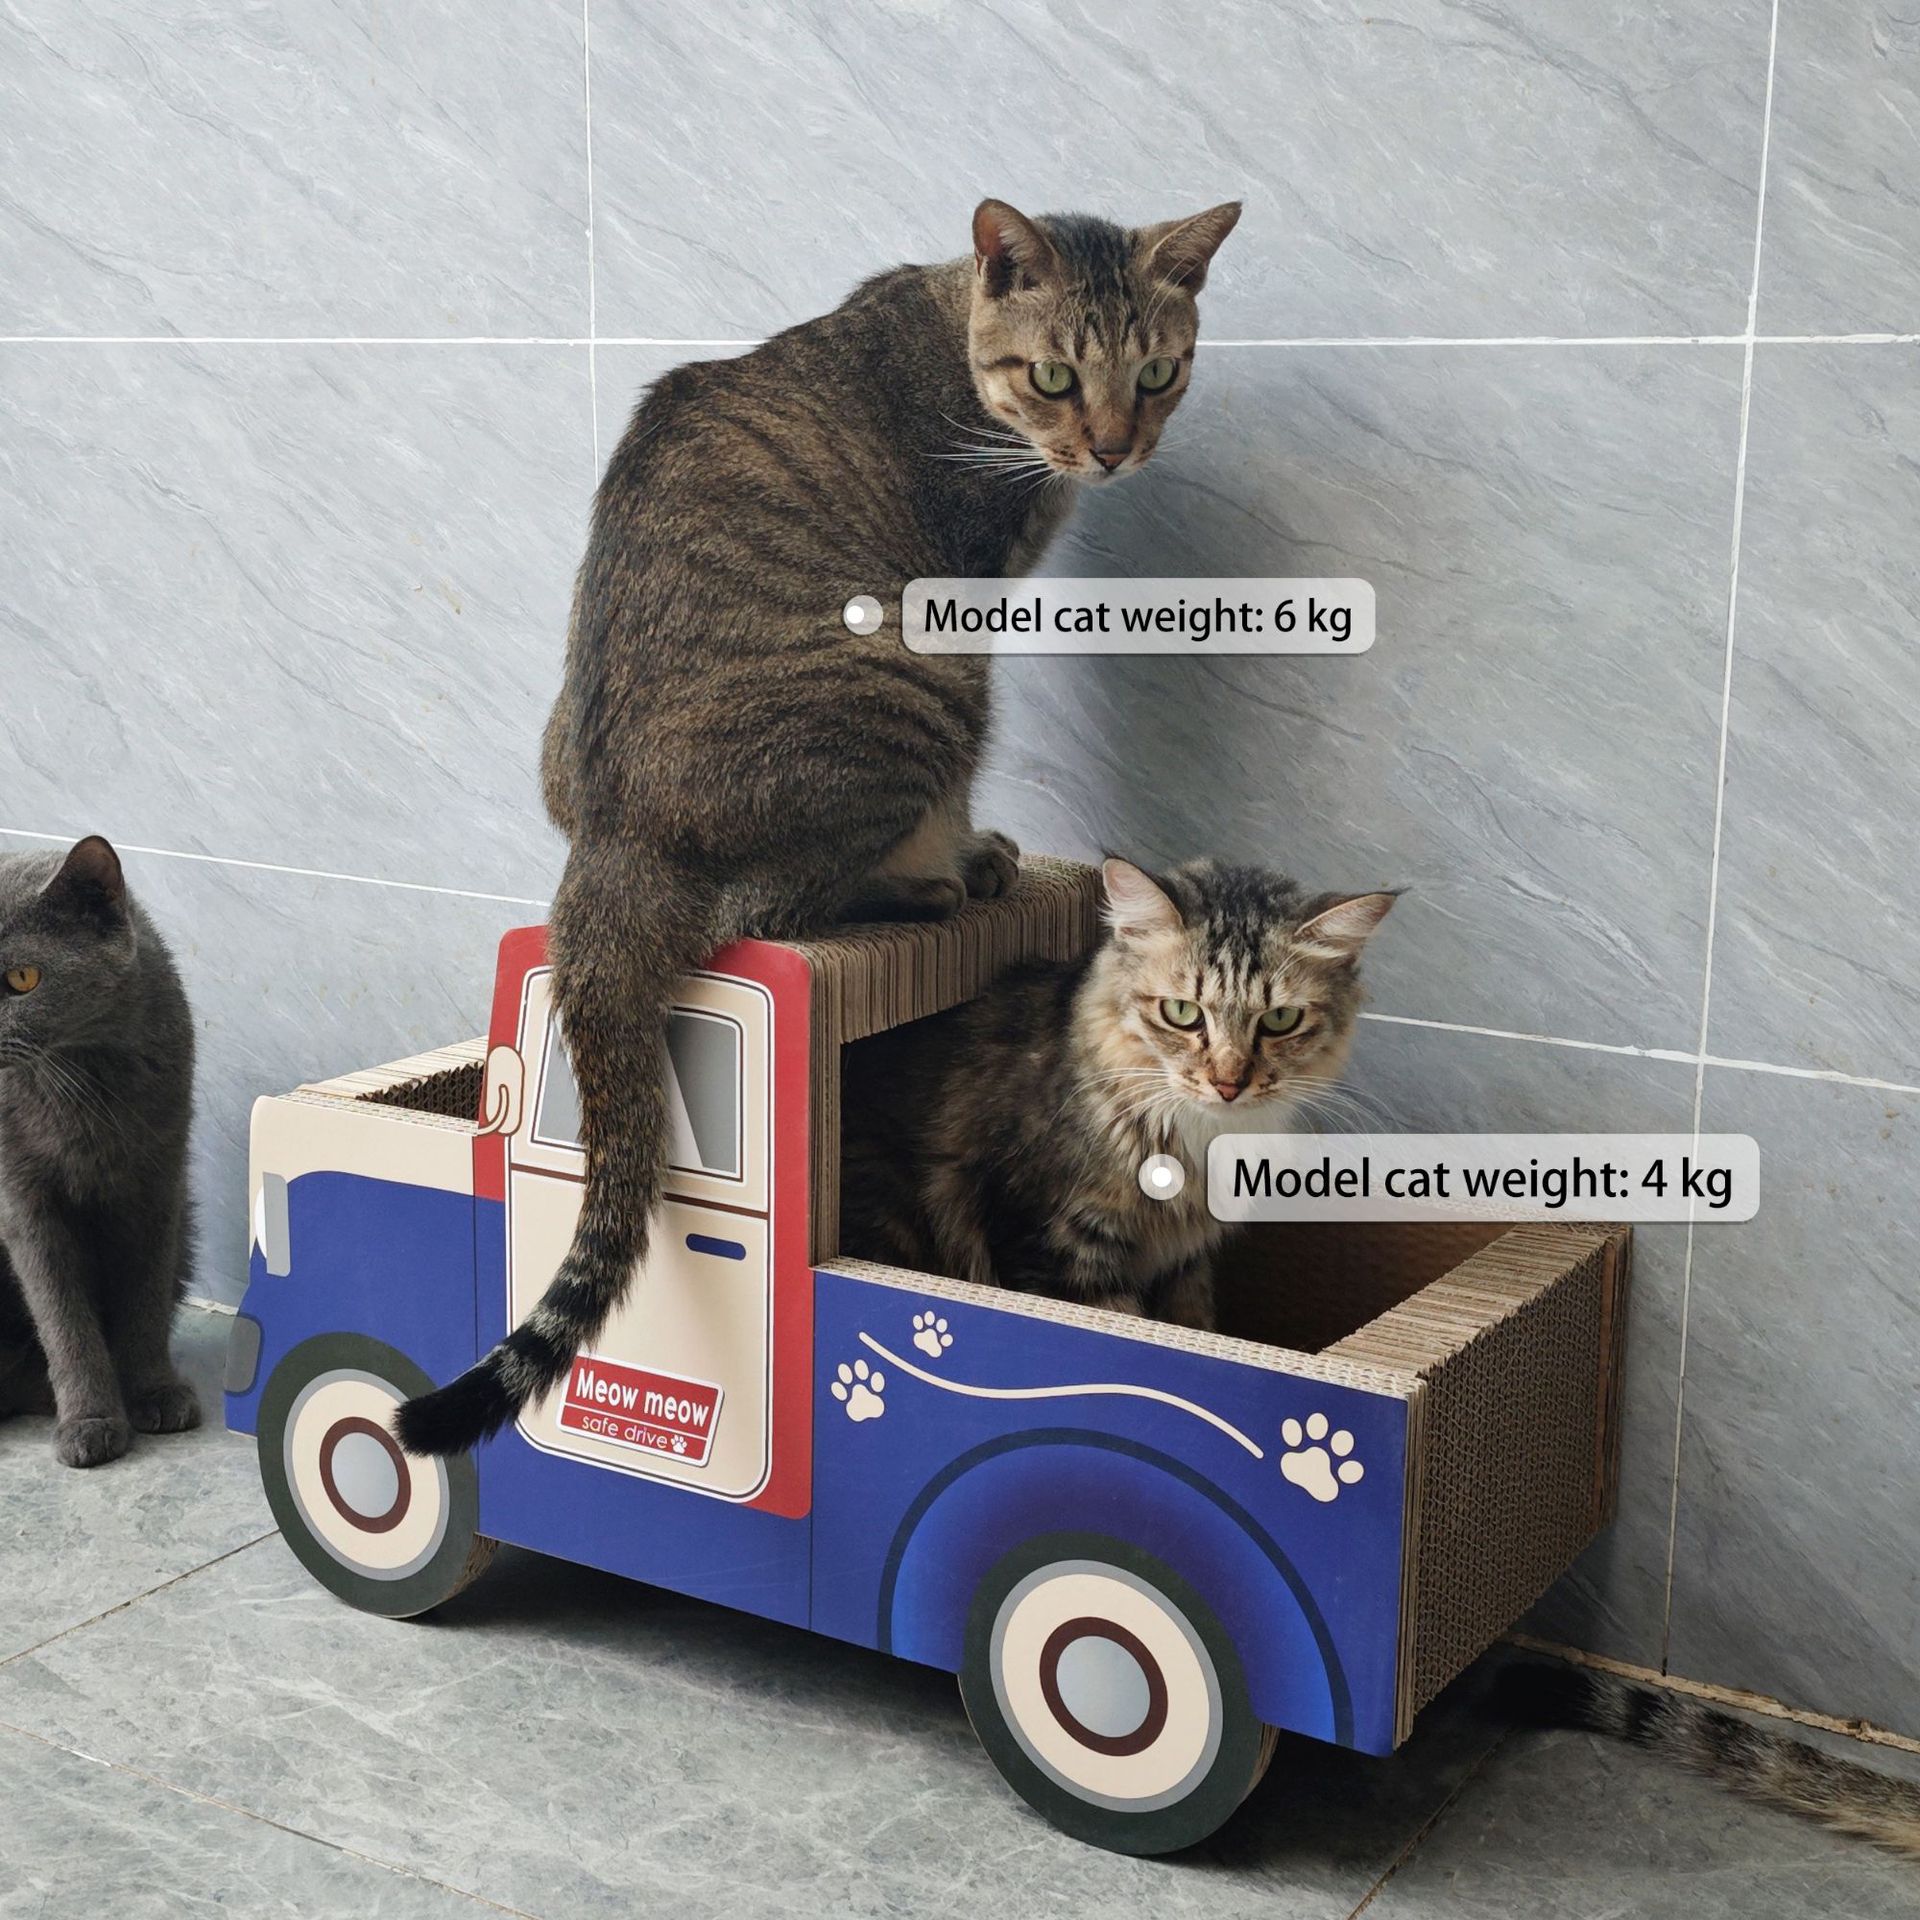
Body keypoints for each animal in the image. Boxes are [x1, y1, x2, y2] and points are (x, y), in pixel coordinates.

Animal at [0, 836, 200, 1468]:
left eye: (23, 977)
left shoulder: (160, 1176)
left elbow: (146, 1292)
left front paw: (154, 1393)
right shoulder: (22, 1198)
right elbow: (62, 1315)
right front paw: (89, 1420)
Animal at [398, 197, 1242, 1453]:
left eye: (1156, 373)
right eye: (1054, 375)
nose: (1110, 449)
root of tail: (615, 839)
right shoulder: (964, 596)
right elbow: (950, 806)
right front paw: (967, 850)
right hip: (917, 685)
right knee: (785, 898)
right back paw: (932, 881)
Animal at [838, 858, 1395, 1328]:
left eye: (1280, 1020)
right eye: (1182, 1012)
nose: (1228, 1083)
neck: (1197, 1137)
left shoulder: (1185, 1263)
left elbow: (1192, 1322)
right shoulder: (1055, 1244)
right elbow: (1123, 1321)